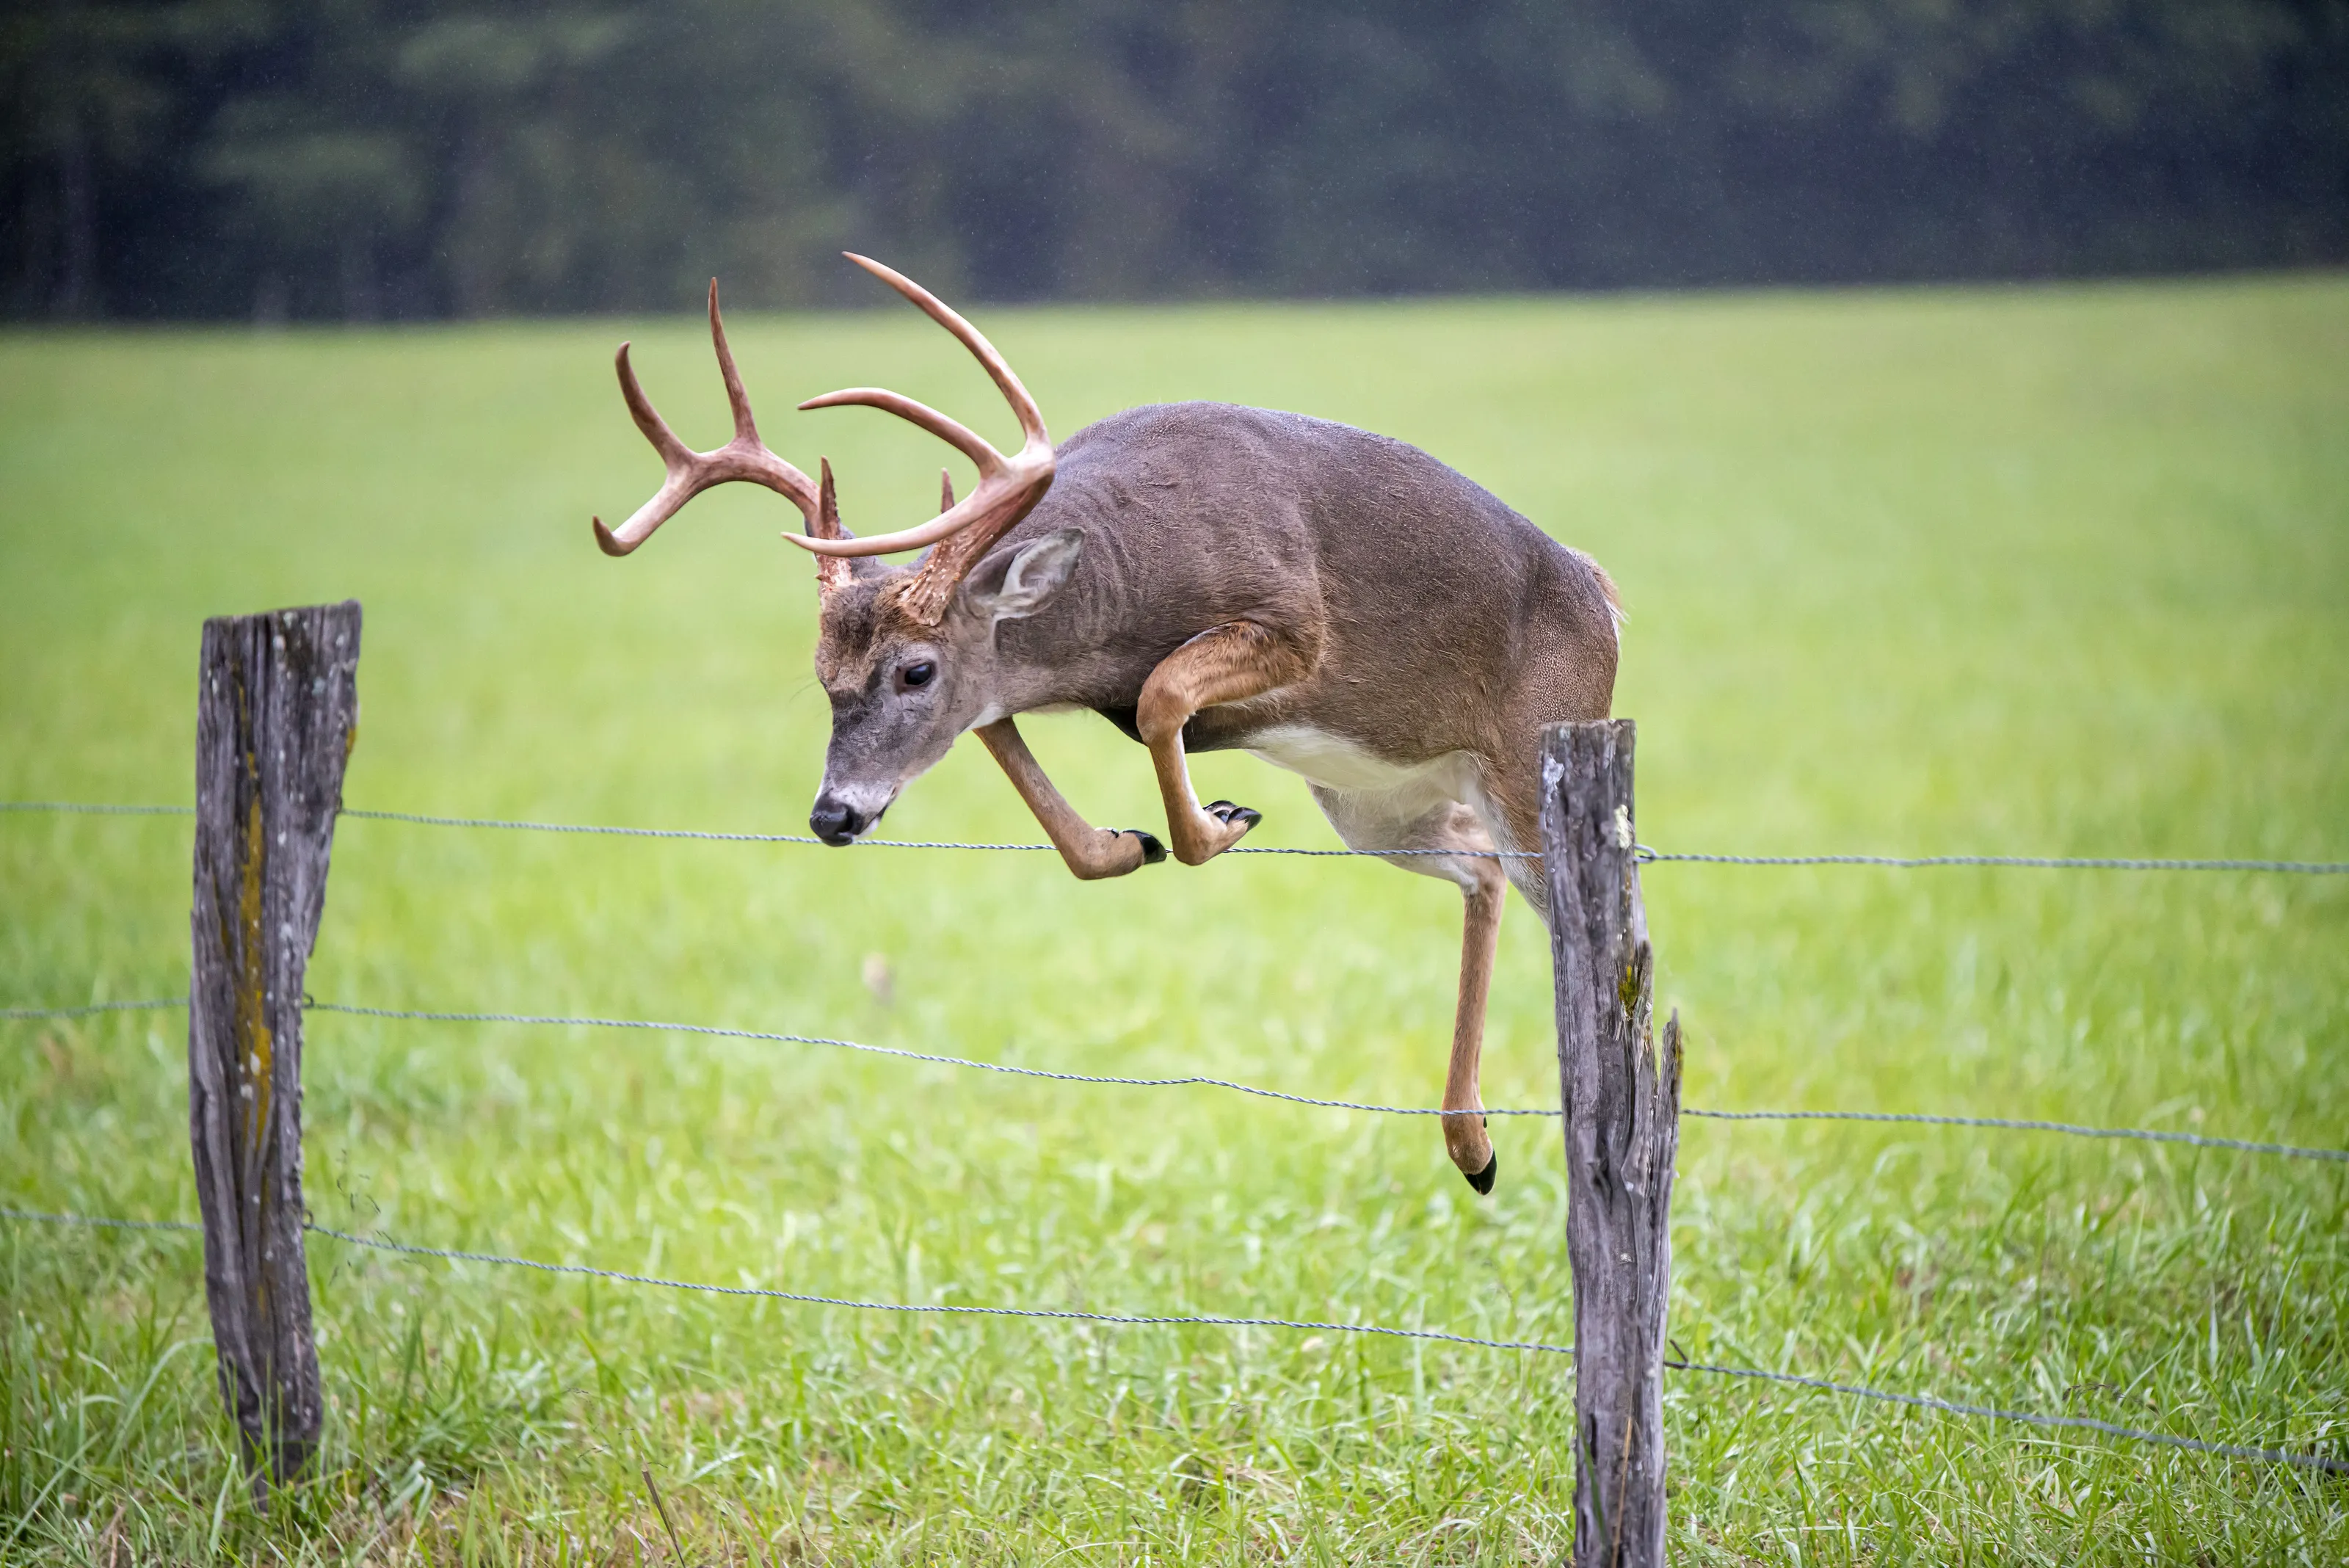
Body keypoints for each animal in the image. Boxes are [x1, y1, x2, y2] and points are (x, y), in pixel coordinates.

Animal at [591, 256, 1620, 1194]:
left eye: (915, 669)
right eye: (822, 679)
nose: (832, 815)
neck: (1118, 597)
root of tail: (1601, 593)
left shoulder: (1297, 623)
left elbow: (1161, 695)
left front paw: (1216, 824)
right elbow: (1001, 730)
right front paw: (1129, 845)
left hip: (1529, 762)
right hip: (1372, 801)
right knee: (1477, 868)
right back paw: (1473, 1146)